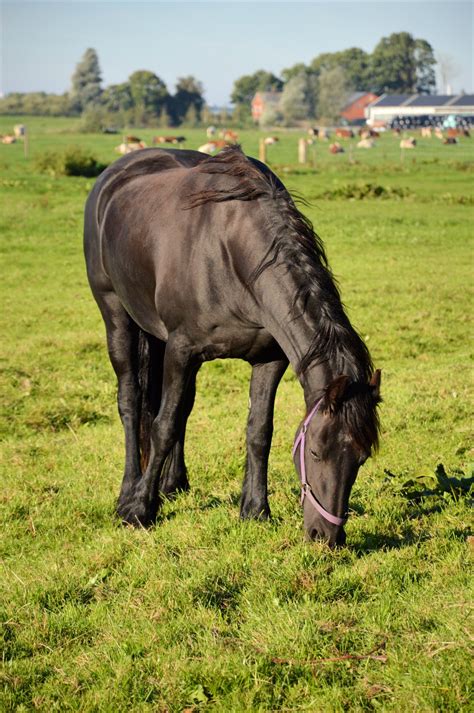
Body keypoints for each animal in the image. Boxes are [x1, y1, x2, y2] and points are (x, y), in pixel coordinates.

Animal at [84, 146, 381, 547]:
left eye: (360, 458)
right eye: (316, 451)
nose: (326, 536)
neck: (231, 252)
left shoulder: (269, 359)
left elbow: (258, 432)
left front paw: (255, 509)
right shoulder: (182, 350)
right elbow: (162, 427)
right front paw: (139, 511)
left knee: (179, 407)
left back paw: (172, 484)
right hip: (116, 315)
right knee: (131, 404)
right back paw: (129, 491)